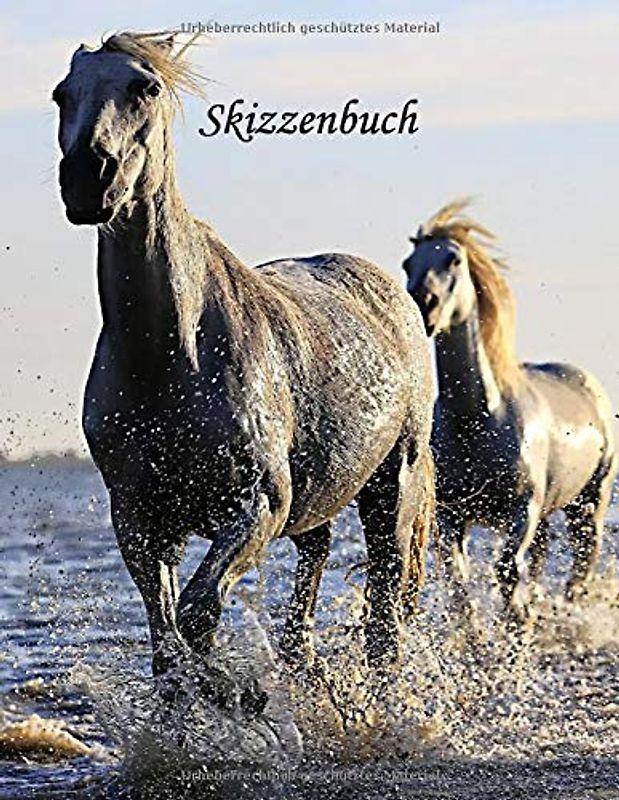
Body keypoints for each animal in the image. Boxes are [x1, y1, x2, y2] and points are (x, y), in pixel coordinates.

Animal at [52, 31, 435, 703]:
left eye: (145, 87)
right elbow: (168, 644)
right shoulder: (141, 520)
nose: (87, 179)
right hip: (321, 498)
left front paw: (236, 696)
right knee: (314, 565)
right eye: (60, 94)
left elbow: (198, 615)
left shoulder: (257, 505)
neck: (171, 357)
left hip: (394, 490)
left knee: (385, 616)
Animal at [403, 199, 615, 621]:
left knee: (582, 562)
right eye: (408, 264)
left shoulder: (522, 510)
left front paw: (516, 626)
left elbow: (506, 572)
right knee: (543, 556)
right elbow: (459, 583)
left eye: (453, 260)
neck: (477, 420)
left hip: (590, 502)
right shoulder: (451, 518)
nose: (423, 304)